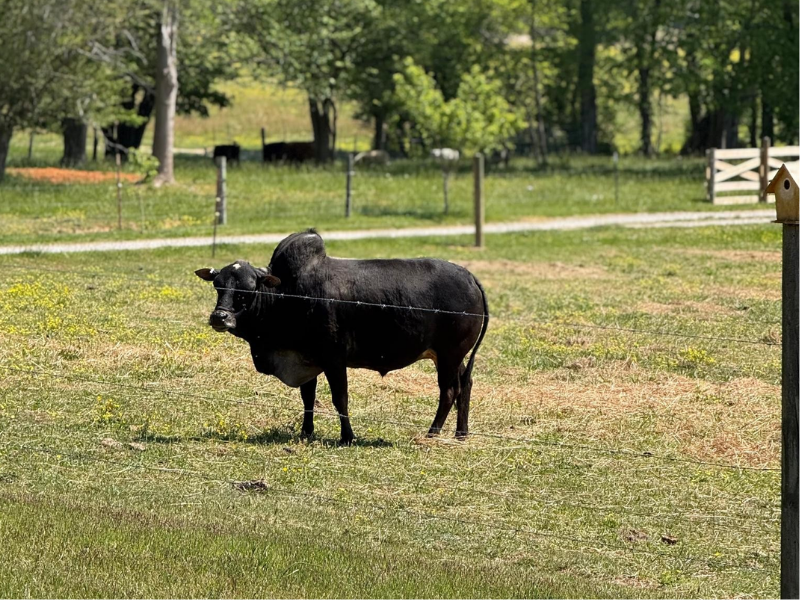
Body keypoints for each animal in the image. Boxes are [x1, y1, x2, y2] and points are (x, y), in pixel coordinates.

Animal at [195, 230, 489, 444]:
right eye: (218, 285)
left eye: (246, 290)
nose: (219, 317)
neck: (287, 295)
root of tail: (469, 276)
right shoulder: (307, 358)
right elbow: (308, 398)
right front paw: (306, 432)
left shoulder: (334, 359)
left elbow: (340, 398)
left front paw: (347, 436)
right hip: (451, 356)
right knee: (465, 384)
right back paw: (461, 433)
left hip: (450, 354)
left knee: (449, 391)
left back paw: (432, 433)